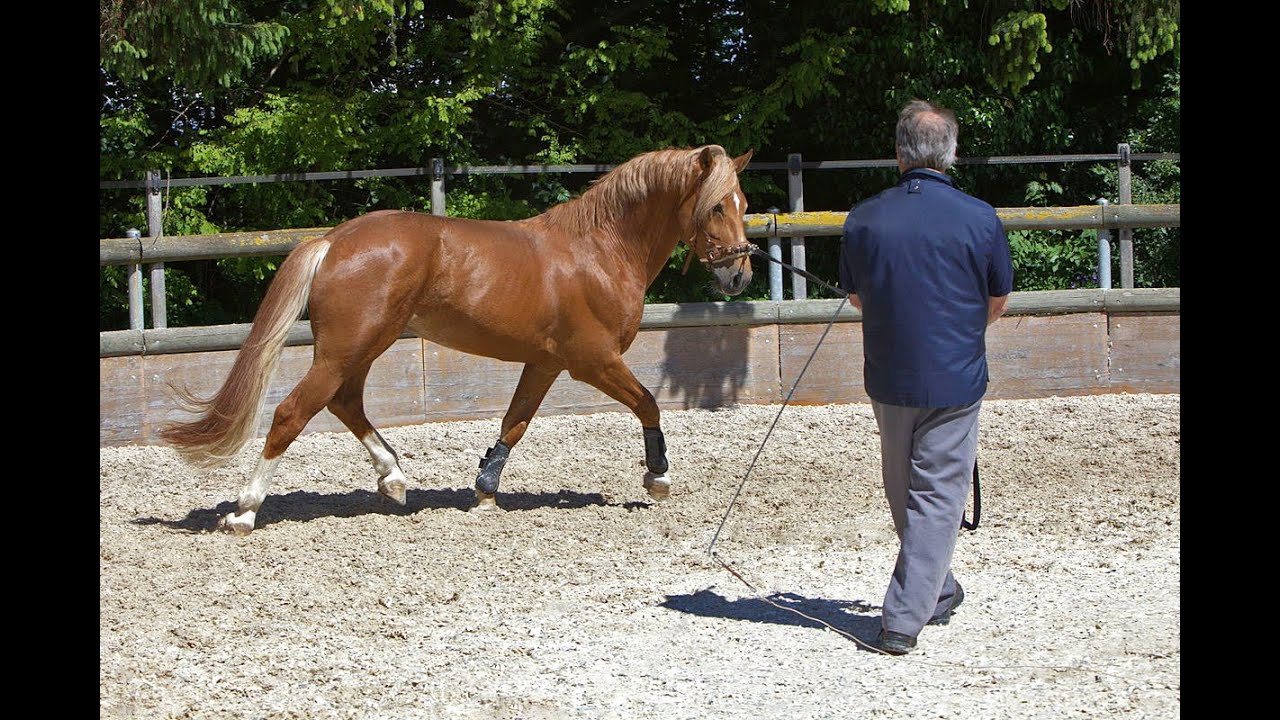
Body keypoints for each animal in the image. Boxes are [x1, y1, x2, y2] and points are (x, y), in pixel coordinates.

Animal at [161, 144, 756, 535]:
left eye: (744, 204)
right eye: (716, 205)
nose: (739, 276)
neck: (599, 249)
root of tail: (334, 240)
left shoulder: (545, 363)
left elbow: (514, 423)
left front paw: (485, 491)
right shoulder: (594, 360)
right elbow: (649, 404)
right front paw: (658, 478)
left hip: (363, 347)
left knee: (344, 402)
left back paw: (394, 480)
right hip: (349, 347)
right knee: (293, 411)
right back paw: (245, 510)